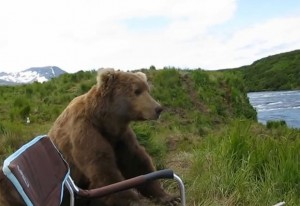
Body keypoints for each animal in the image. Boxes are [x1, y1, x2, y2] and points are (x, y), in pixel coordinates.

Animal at [47, 69, 178, 206]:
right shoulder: (84, 131)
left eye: (147, 90)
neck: (103, 120)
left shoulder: (120, 136)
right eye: (137, 91)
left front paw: (169, 197)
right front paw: (135, 201)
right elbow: (104, 169)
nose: (158, 108)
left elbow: (136, 162)